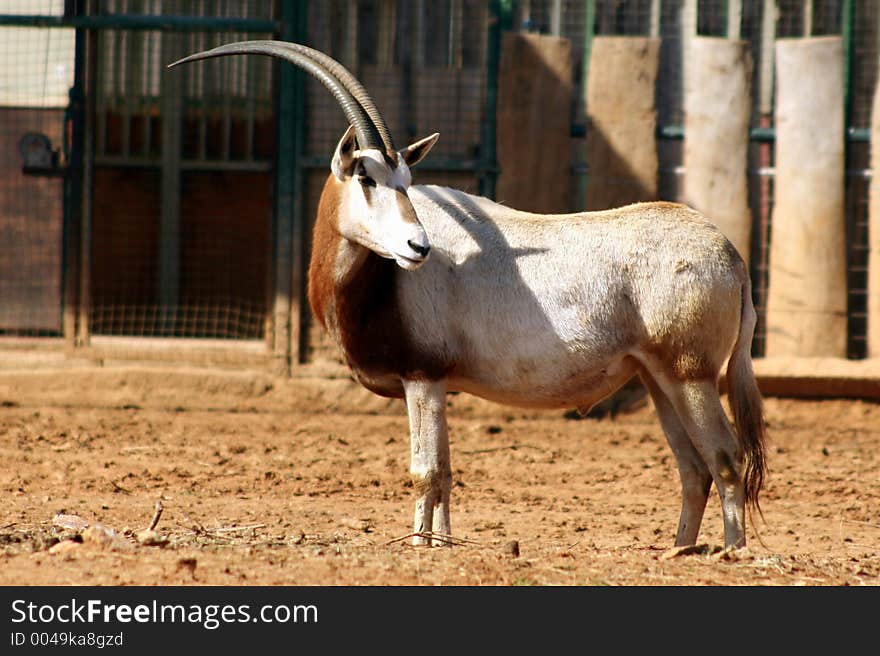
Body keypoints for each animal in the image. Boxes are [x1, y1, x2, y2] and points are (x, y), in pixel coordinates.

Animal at [170, 42, 764, 548]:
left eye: (406, 180)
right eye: (366, 176)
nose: (418, 246)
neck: (384, 279)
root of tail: (731, 256)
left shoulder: (422, 377)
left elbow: (424, 471)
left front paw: (419, 546)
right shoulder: (437, 384)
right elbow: (446, 473)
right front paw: (443, 544)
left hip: (690, 376)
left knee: (725, 458)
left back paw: (730, 554)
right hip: (657, 378)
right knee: (693, 468)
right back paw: (680, 550)